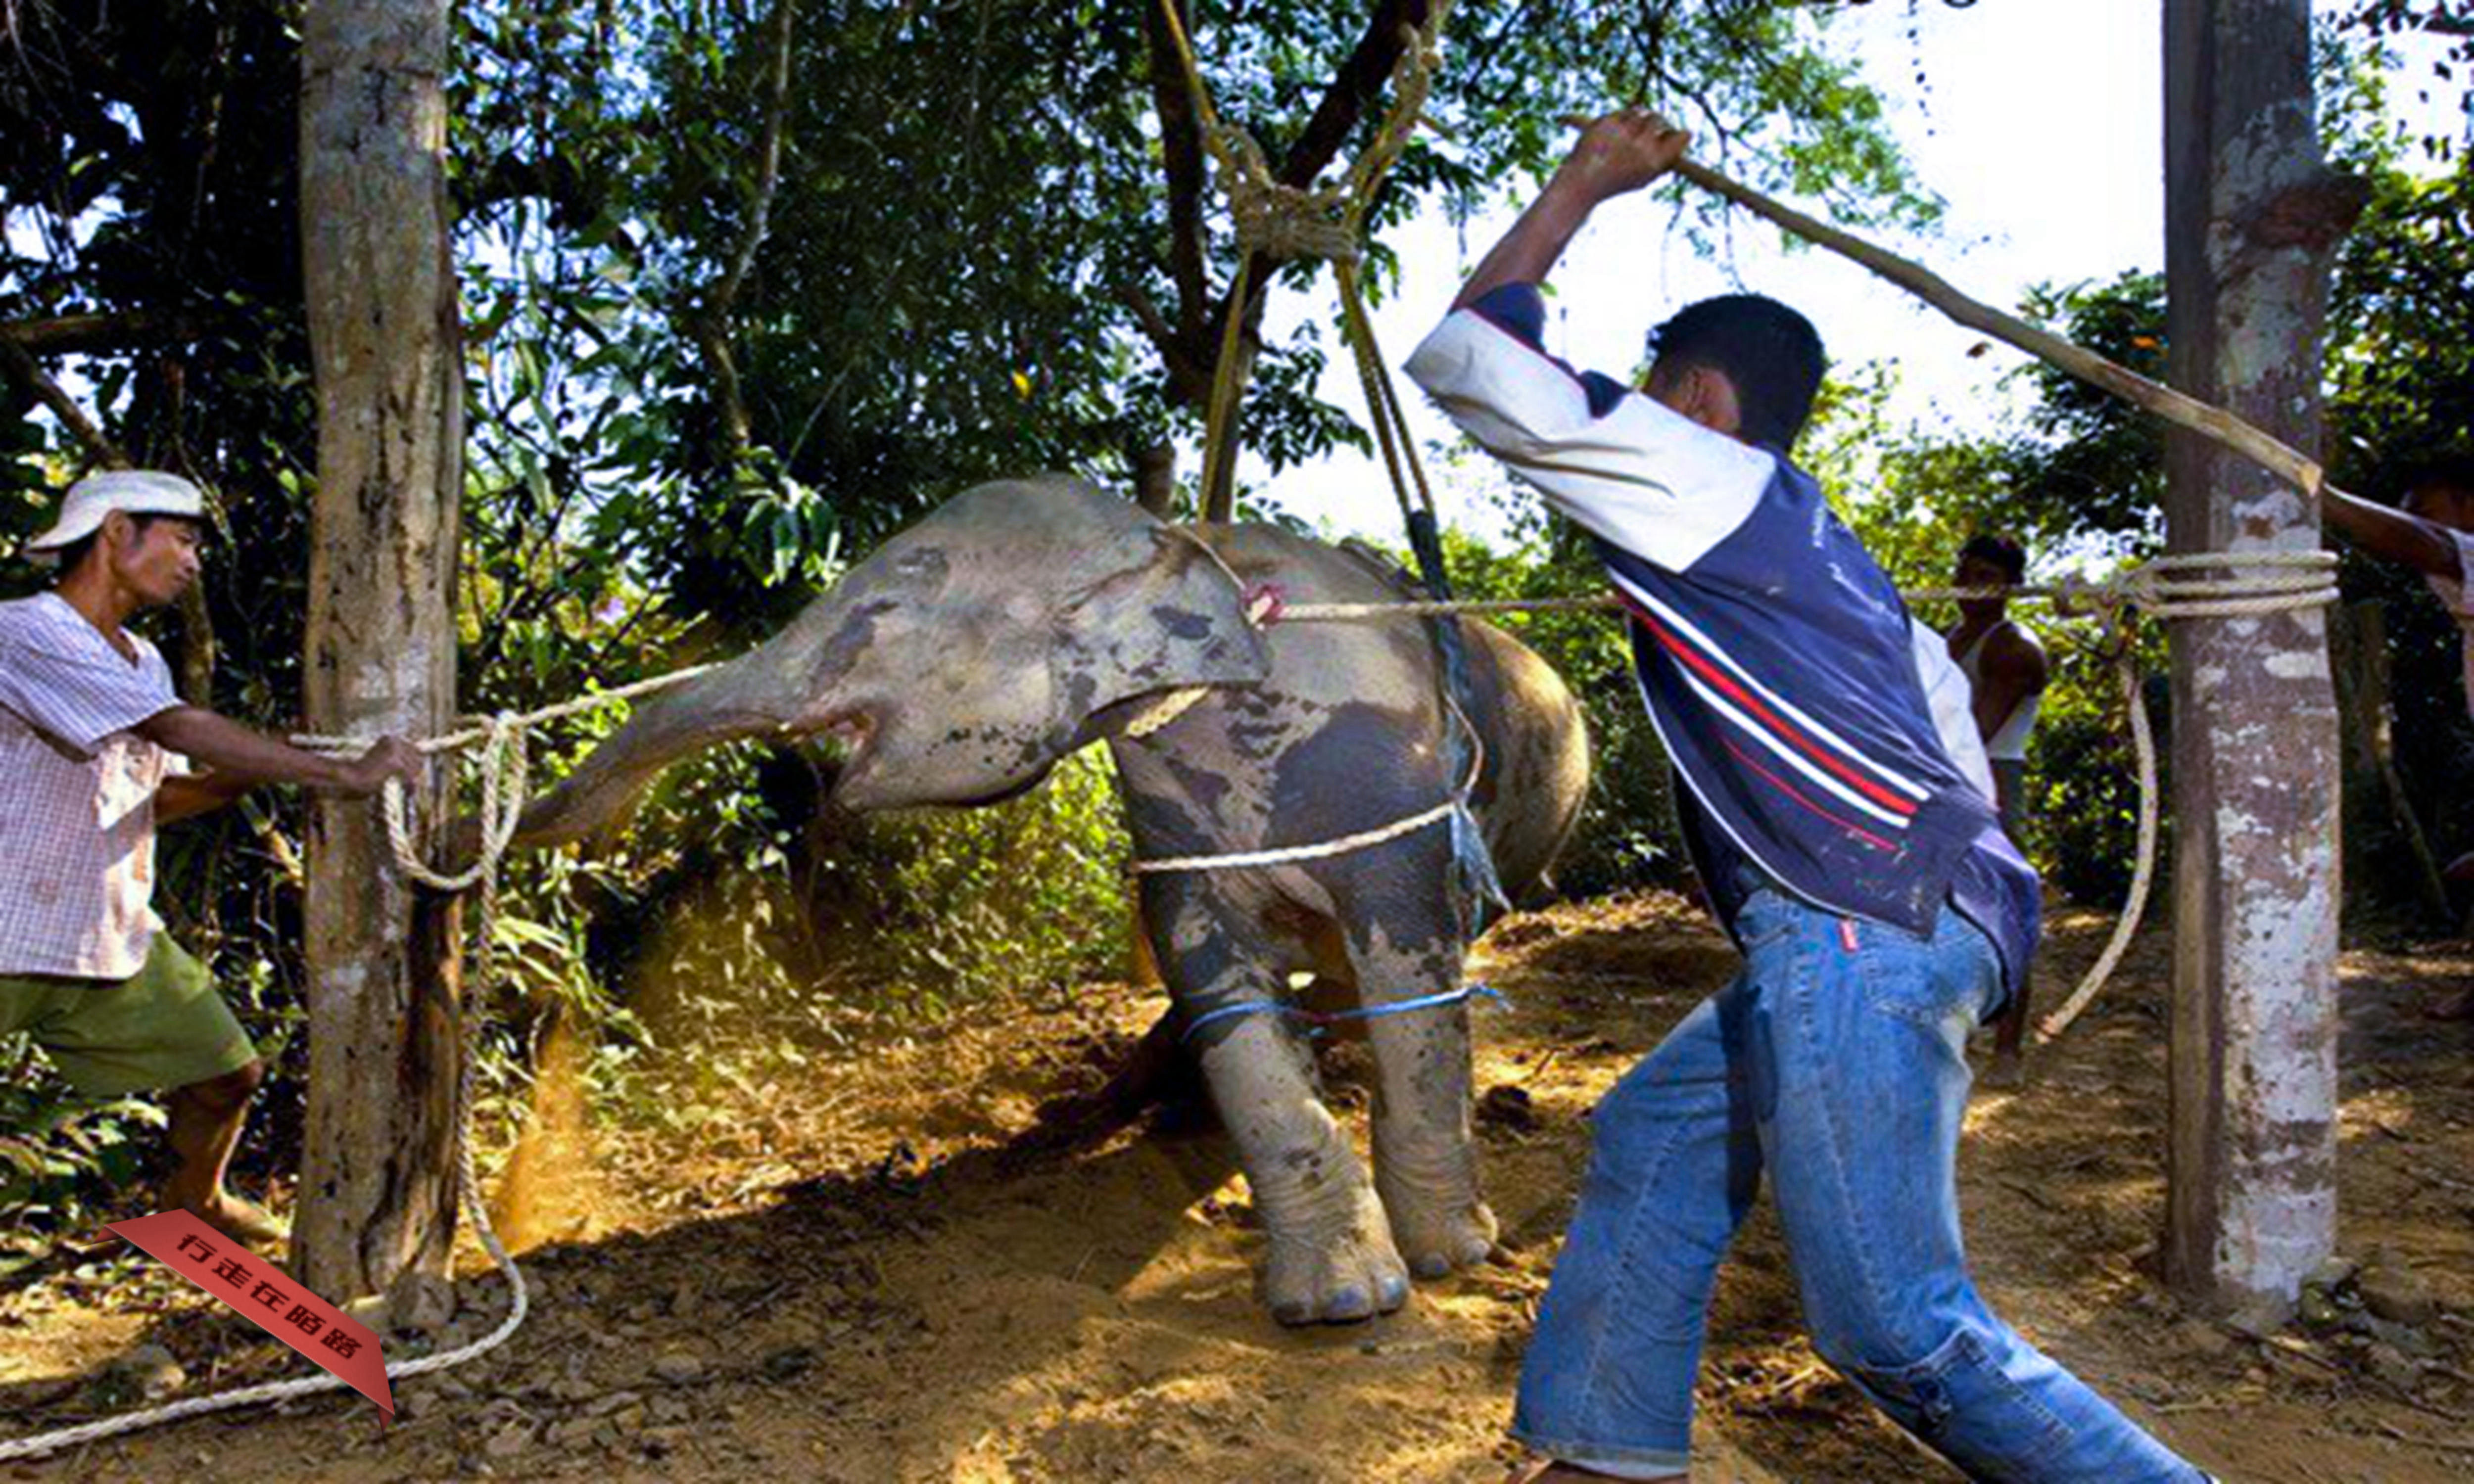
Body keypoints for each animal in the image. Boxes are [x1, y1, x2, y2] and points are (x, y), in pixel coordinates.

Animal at [520, 472, 1583, 1326]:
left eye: (887, 606)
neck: (1184, 544)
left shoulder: (1391, 782)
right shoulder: (1170, 820)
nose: (554, 831)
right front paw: (1335, 1302)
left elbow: (1414, 976)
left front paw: (1448, 1259)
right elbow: (1217, 987)